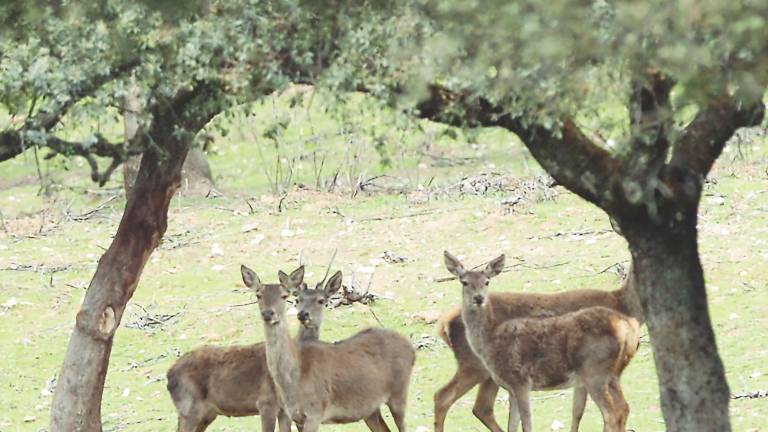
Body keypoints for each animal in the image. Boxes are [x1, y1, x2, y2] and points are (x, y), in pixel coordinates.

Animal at [166, 264, 308, 430]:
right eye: (258, 295)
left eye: (284, 296)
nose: (268, 313)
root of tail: (169, 374)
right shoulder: (265, 403)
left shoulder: (284, 409)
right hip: (188, 408)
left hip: (207, 414)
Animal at [243, 264, 416, 432]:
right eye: (258, 295)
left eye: (285, 296)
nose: (268, 314)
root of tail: (412, 349)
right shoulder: (294, 415)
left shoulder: (315, 411)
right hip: (370, 410)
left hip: (399, 394)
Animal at [432, 256, 640, 432]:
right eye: (464, 282)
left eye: (487, 282)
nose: (478, 298)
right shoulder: (521, 383)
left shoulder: (522, 382)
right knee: (447, 398)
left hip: (598, 373)